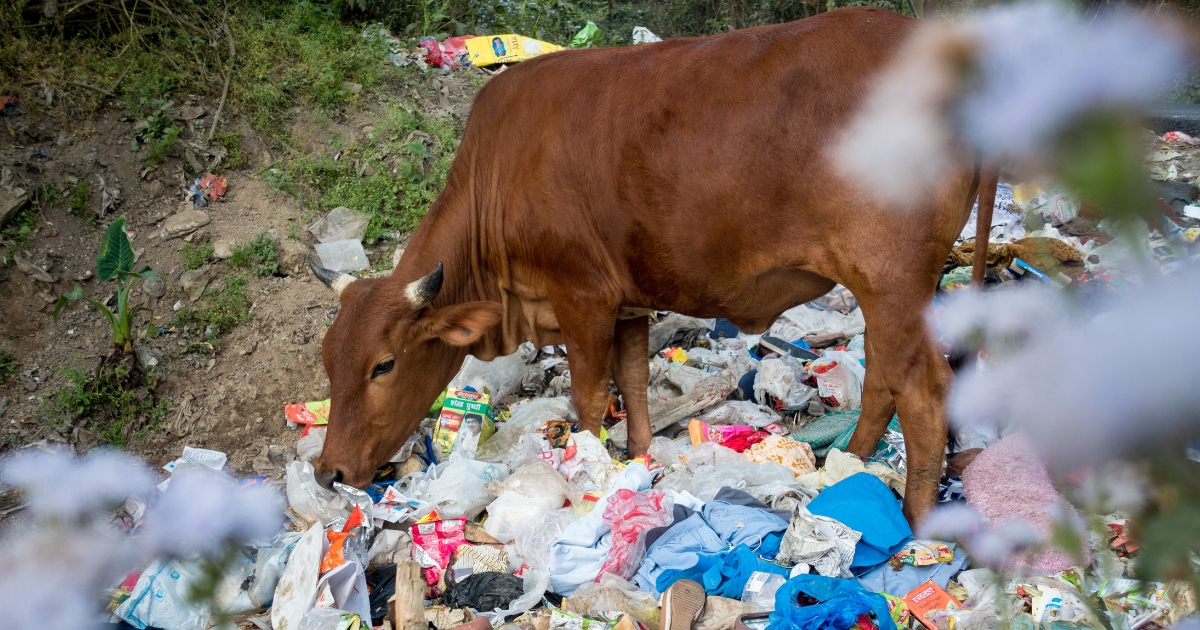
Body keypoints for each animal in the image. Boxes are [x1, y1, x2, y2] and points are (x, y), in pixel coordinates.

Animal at [314, 7, 988, 523]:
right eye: (329, 361)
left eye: (383, 365)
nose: (328, 472)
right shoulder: (629, 300)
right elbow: (634, 381)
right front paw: (637, 460)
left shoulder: (582, 296)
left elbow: (589, 396)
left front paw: (587, 473)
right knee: (883, 376)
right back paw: (850, 466)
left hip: (892, 280)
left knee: (922, 388)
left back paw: (916, 522)